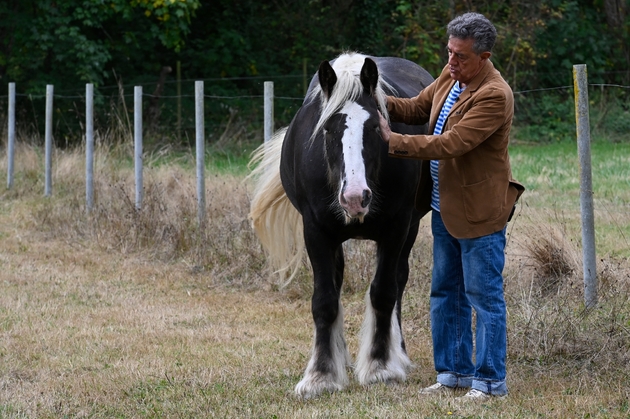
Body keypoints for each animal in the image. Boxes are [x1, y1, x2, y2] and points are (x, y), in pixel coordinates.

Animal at [249, 50, 436, 398]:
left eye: (375, 127)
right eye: (328, 129)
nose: (354, 197)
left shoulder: (397, 228)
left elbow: (384, 293)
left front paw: (380, 366)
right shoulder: (316, 232)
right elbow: (325, 300)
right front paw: (321, 375)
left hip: (410, 230)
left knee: (398, 282)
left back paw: (398, 354)